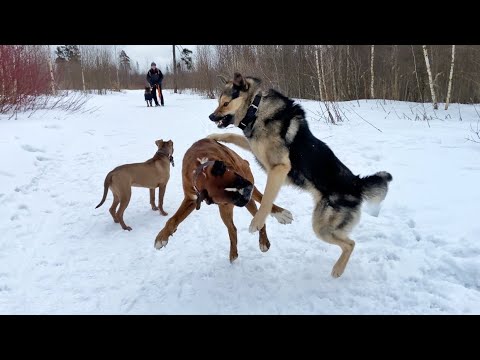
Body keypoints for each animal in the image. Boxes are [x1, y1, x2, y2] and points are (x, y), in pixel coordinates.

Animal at [154, 138, 292, 262]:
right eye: (232, 197)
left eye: (238, 178)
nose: (246, 192)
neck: (201, 169)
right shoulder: (192, 199)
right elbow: (173, 220)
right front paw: (161, 237)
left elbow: (265, 201)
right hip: (225, 209)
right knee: (233, 229)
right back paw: (234, 252)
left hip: (246, 186)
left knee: (261, 208)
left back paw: (270, 230)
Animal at [208, 71, 392, 278]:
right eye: (219, 102)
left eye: (225, 103)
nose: (211, 116)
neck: (255, 109)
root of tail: (356, 184)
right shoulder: (256, 149)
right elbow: (233, 136)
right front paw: (212, 137)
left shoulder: (279, 167)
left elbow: (266, 199)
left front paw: (257, 222)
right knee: (349, 242)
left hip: (322, 227)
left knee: (350, 244)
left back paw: (337, 270)